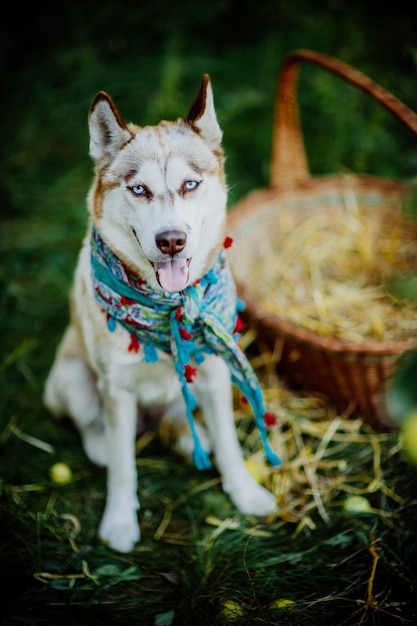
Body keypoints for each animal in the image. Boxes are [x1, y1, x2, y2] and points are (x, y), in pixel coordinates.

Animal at [44, 77, 278, 552]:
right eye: (139, 189)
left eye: (190, 184)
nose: (171, 241)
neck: (169, 307)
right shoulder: (116, 391)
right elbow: (123, 468)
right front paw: (119, 522)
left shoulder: (215, 373)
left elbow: (230, 445)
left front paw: (245, 493)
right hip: (72, 377)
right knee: (96, 432)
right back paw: (105, 444)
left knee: (182, 417)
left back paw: (191, 438)